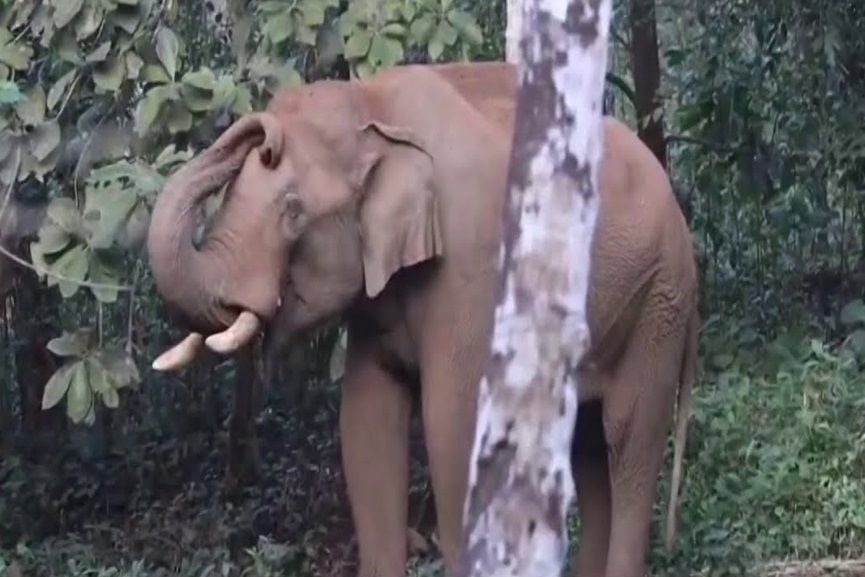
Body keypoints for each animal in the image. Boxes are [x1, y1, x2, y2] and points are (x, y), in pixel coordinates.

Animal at [145, 61, 699, 577]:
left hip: (660, 299)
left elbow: (452, 421)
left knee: (627, 436)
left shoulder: (472, 265)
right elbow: (366, 419)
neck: (373, 104)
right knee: (587, 446)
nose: (262, 132)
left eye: (293, 211)